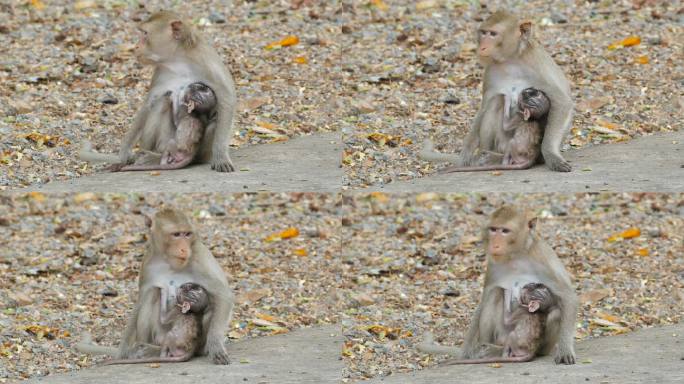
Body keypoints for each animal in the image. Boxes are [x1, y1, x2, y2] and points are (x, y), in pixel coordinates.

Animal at [85, 10, 236, 172]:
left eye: (145, 33)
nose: (136, 46)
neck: (179, 59)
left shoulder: (209, 64)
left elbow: (226, 98)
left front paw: (221, 157)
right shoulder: (161, 72)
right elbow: (149, 102)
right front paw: (123, 155)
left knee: (214, 122)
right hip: (166, 141)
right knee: (163, 100)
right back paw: (151, 154)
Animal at [416, 206, 576, 364]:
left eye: (505, 231)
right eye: (493, 229)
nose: (495, 244)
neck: (516, 255)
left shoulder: (544, 260)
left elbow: (567, 295)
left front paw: (565, 350)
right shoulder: (493, 265)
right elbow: (486, 296)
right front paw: (465, 353)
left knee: (555, 314)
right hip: (501, 335)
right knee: (495, 293)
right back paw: (487, 348)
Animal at [422, 10, 572, 171]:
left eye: (493, 34)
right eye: (484, 33)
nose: (482, 47)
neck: (511, 59)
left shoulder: (538, 67)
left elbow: (562, 102)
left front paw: (551, 155)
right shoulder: (490, 72)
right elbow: (484, 107)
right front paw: (465, 156)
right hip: (502, 145)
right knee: (495, 102)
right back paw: (486, 155)